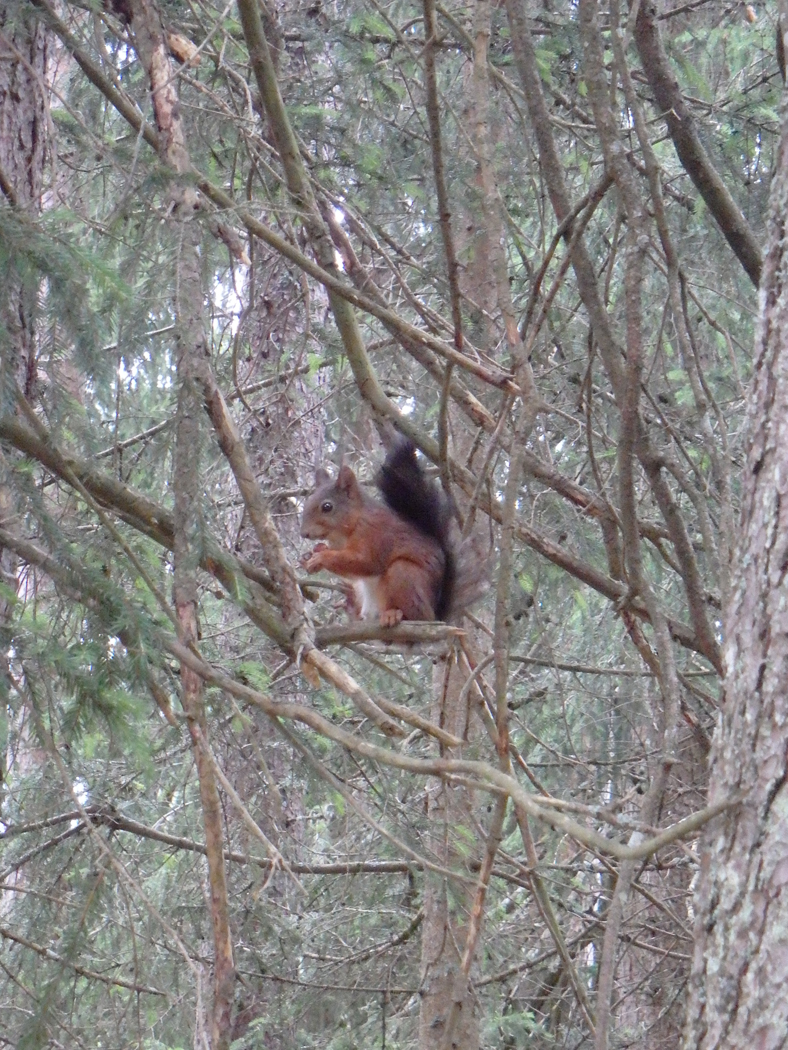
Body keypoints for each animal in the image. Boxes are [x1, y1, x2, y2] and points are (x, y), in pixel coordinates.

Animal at [300, 438, 458, 626]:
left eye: (327, 507)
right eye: (308, 500)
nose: (303, 534)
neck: (346, 530)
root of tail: (437, 615)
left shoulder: (376, 535)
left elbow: (366, 562)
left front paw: (321, 557)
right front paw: (312, 555)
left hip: (405, 576)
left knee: (418, 614)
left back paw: (394, 615)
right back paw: (353, 610)